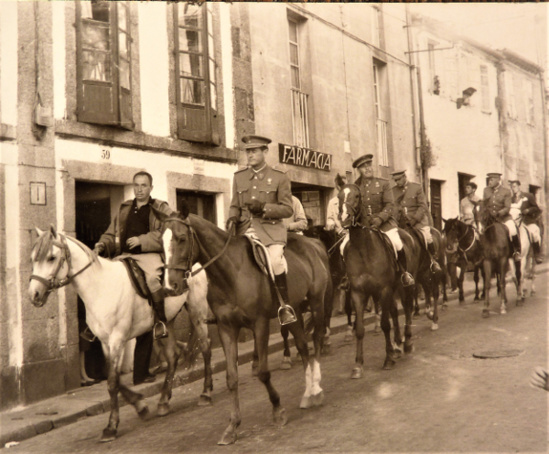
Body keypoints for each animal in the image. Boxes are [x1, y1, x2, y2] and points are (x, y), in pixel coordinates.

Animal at [27, 226, 212, 440]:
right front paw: (140, 405)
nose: (34, 295)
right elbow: (113, 377)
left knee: (206, 347)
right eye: (33, 258)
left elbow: (112, 382)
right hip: (168, 321)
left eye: (51, 257)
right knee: (173, 357)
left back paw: (206, 393)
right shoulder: (106, 342)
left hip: (197, 311)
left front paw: (111, 426)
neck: (100, 287)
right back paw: (163, 402)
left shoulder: (117, 339)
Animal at [157, 207, 330, 446]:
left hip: (316, 303)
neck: (230, 272)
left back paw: (318, 388)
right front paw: (232, 427)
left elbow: (264, 372)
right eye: (160, 243)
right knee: (303, 347)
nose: (169, 287)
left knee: (317, 339)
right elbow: (231, 378)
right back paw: (309, 393)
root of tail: (314, 244)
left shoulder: (260, 324)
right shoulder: (227, 328)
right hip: (293, 311)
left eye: (182, 238)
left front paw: (278, 410)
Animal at [338, 183, 416, 378]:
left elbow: (385, 324)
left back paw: (407, 342)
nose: (344, 219)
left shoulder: (384, 290)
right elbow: (359, 329)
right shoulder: (358, 293)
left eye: (357, 196)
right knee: (395, 311)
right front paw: (358, 365)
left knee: (407, 308)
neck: (363, 249)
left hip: (404, 286)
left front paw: (388, 359)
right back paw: (397, 345)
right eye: (339, 196)